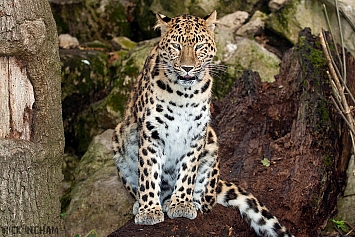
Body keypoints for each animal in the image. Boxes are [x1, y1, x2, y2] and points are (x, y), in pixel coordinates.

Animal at [112, 11, 294, 237]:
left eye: (199, 46)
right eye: (176, 46)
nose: (187, 68)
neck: (183, 93)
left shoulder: (197, 133)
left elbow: (188, 171)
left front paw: (182, 204)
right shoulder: (150, 133)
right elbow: (149, 173)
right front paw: (148, 210)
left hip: (212, 142)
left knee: (208, 199)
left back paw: (185, 201)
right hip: (119, 137)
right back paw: (145, 203)